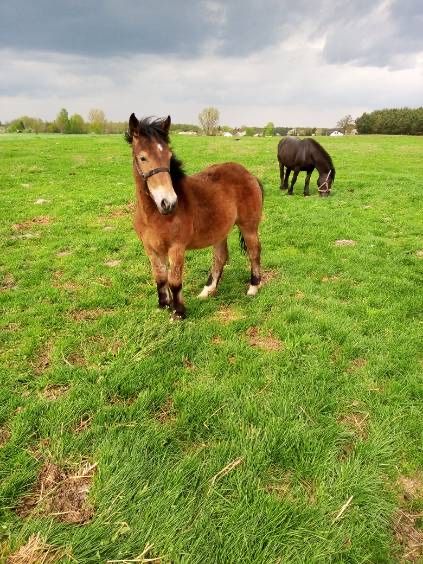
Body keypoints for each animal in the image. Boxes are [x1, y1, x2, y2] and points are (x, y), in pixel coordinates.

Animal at [127, 113, 264, 320]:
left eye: (169, 156)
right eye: (143, 158)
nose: (168, 202)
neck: (153, 215)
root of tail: (249, 174)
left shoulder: (176, 248)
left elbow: (174, 280)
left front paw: (178, 313)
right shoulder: (151, 249)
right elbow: (160, 277)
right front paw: (163, 306)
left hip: (248, 226)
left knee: (254, 252)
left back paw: (253, 288)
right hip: (219, 230)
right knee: (220, 257)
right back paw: (207, 291)